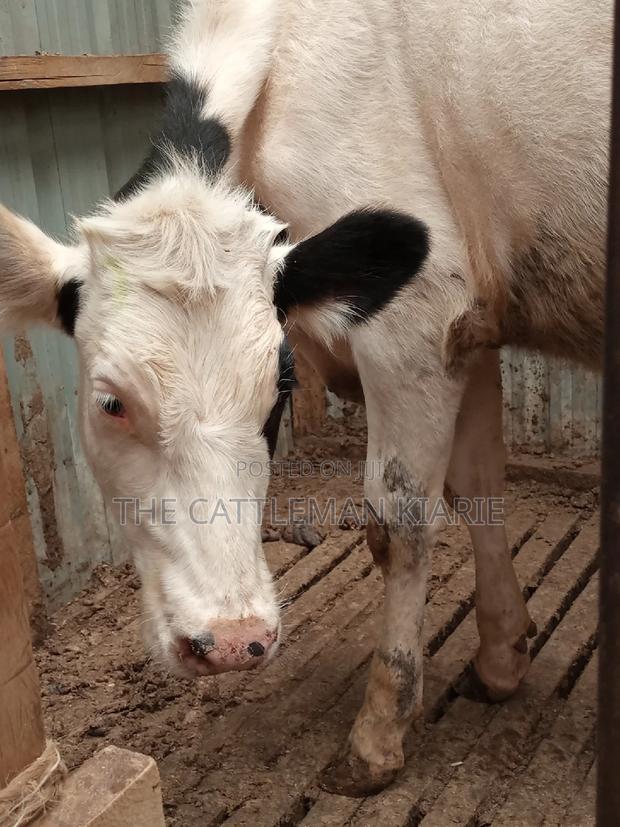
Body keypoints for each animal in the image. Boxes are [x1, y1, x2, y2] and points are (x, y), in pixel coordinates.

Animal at [0, 0, 611, 797]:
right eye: (111, 402)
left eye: (277, 394)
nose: (232, 641)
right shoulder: (469, 324)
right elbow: (478, 484)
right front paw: (501, 659)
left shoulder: (417, 315)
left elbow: (399, 523)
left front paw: (377, 735)